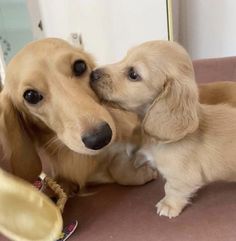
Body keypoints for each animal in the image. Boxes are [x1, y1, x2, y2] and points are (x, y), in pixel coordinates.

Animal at [90, 40, 236, 218]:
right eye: (124, 57)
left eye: (133, 74)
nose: (92, 74)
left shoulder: (182, 176)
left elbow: (172, 188)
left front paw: (168, 205)